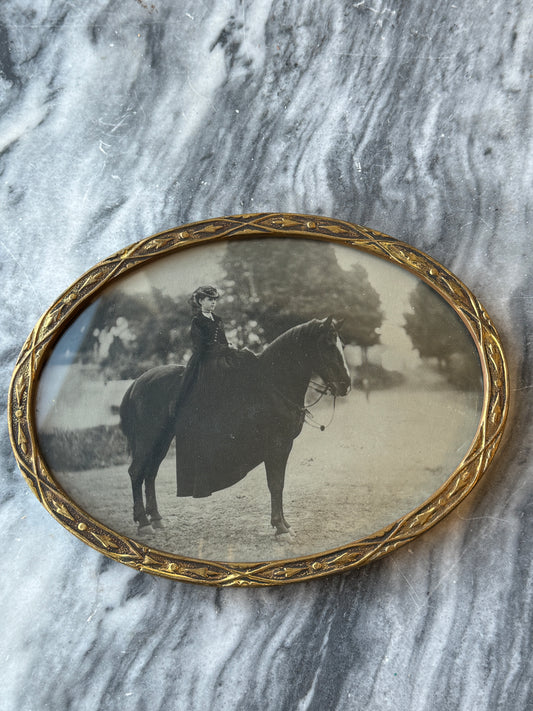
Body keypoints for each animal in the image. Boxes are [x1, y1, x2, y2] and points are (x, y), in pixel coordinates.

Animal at [118, 318, 352, 536]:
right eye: (328, 344)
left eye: (342, 344)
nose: (346, 385)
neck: (273, 384)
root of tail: (137, 382)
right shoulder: (276, 445)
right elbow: (275, 484)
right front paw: (280, 527)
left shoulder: (284, 446)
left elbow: (280, 484)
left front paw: (284, 524)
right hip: (147, 439)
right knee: (136, 472)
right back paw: (144, 523)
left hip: (162, 440)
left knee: (150, 473)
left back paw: (156, 519)